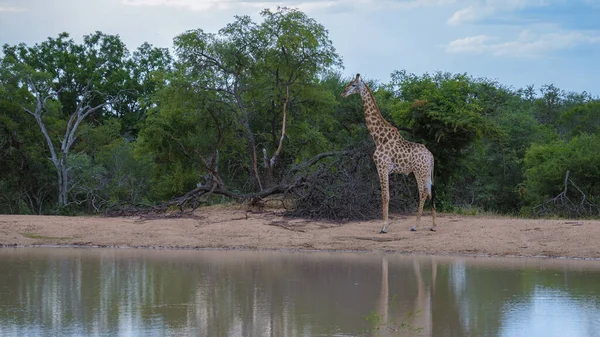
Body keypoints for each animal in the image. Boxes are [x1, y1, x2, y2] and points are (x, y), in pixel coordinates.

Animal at [342, 73, 436, 231]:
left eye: (354, 85)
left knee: (423, 192)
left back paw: (415, 225)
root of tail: (431, 156)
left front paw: (384, 226)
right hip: (427, 171)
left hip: (419, 171)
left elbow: (385, 196)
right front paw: (385, 225)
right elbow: (385, 195)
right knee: (431, 191)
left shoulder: (382, 166)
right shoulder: (384, 168)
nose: (343, 93)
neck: (379, 138)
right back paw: (434, 225)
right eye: (349, 83)